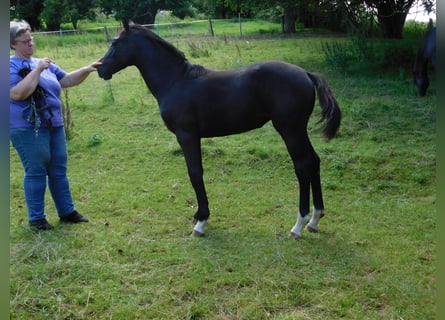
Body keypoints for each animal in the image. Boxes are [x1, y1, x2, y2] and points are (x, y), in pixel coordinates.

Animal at [96, 20, 340, 239]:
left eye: (116, 42)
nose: (100, 69)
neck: (176, 81)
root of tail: (306, 74)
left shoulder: (187, 136)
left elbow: (195, 173)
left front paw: (201, 220)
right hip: (298, 131)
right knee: (314, 161)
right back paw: (314, 220)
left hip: (290, 130)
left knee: (303, 166)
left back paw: (298, 225)